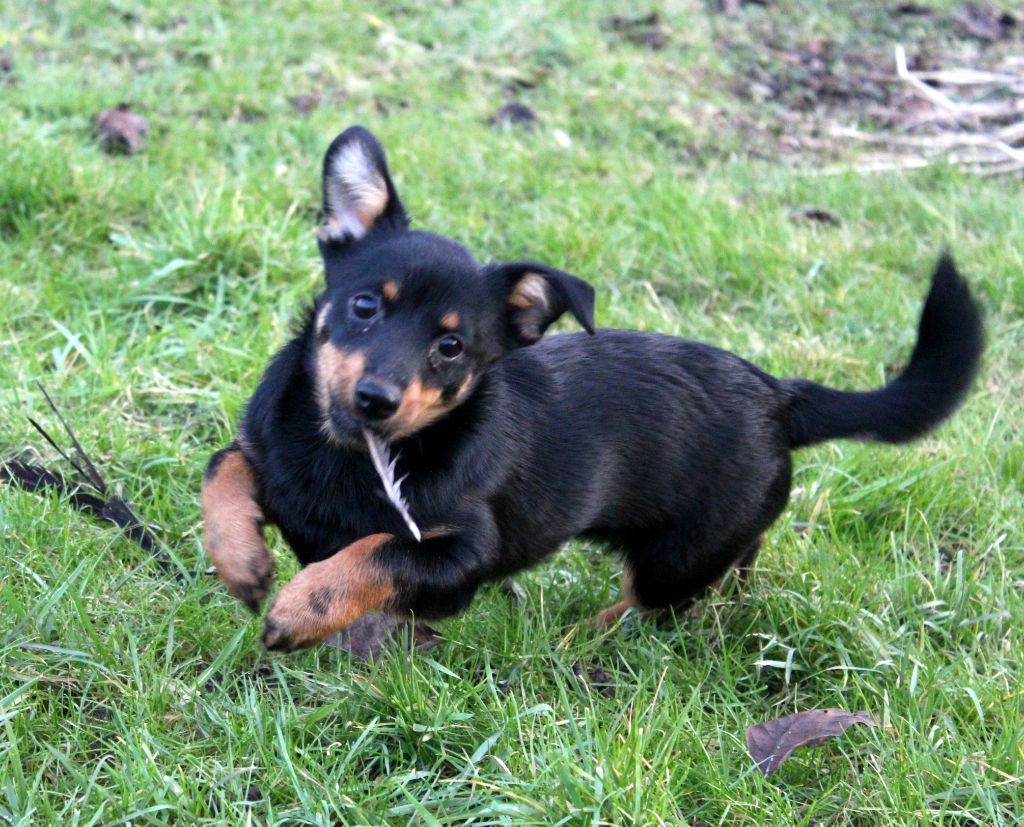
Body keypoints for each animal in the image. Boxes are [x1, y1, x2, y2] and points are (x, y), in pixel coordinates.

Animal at [201, 125, 983, 650]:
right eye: (365, 305)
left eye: (452, 347)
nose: (375, 399)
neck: (345, 449)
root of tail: (778, 395)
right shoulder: (267, 452)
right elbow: (224, 468)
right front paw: (241, 562)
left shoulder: (456, 560)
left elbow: (372, 552)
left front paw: (300, 607)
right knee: (734, 568)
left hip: (675, 555)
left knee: (657, 602)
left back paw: (583, 639)